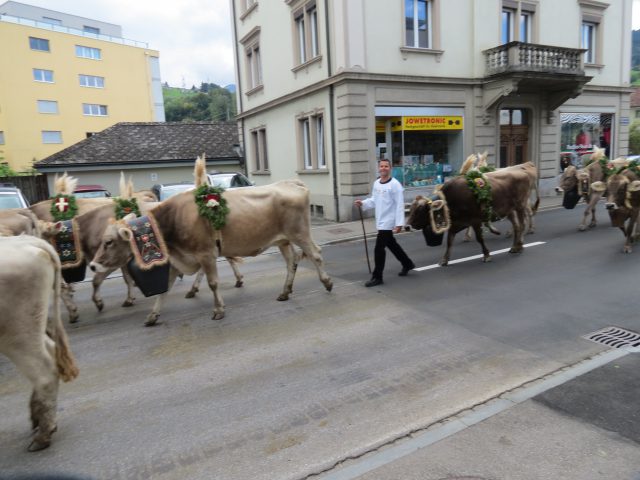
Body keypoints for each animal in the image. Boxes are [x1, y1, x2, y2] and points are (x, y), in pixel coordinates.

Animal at [90, 158, 336, 326]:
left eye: (109, 241)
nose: (92, 265)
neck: (173, 220)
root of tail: (292, 183)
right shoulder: (179, 259)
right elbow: (164, 289)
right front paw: (153, 315)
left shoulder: (206, 253)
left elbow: (213, 283)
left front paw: (218, 310)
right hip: (283, 240)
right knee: (292, 261)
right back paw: (285, 292)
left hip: (299, 233)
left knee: (315, 253)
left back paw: (327, 283)